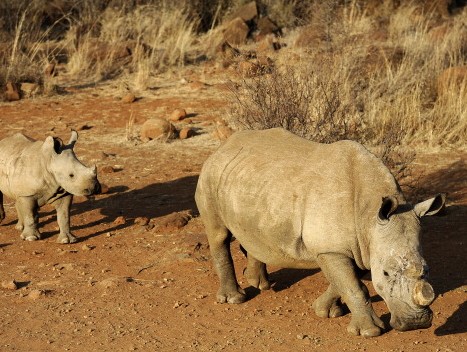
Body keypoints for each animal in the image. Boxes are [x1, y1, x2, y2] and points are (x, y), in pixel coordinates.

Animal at [197, 128, 446, 336]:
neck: (369, 214)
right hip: (211, 175)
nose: (416, 323)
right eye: (385, 273)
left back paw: (261, 285)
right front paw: (369, 332)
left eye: (427, 269)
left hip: (251, 183)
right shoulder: (332, 248)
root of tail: (223, 146)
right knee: (219, 235)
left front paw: (325, 311)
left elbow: (345, 281)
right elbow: (353, 286)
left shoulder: (355, 245)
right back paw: (234, 299)